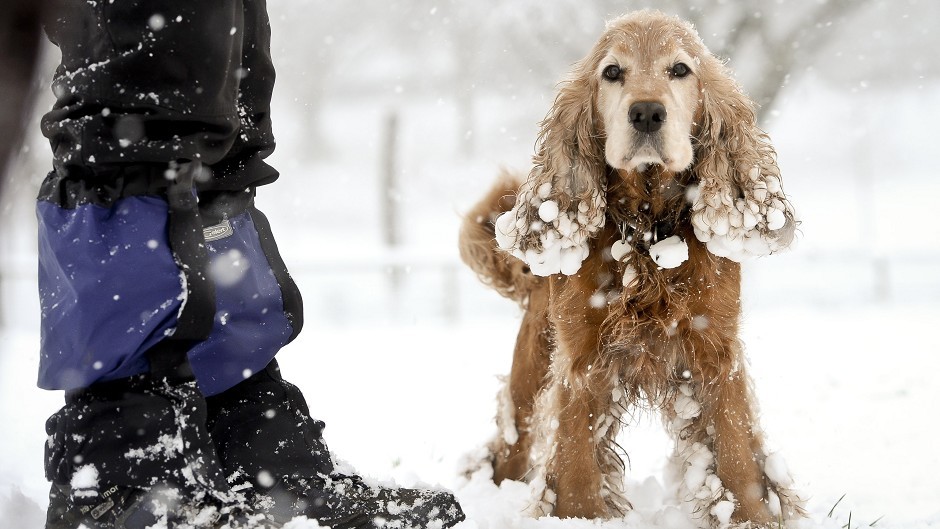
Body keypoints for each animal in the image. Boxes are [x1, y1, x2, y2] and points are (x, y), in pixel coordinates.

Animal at [458, 10, 804, 524]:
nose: (646, 112)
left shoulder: (714, 351)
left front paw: (750, 517)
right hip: (528, 383)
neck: (646, 230)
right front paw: (577, 515)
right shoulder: (581, 361)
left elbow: (737, 454)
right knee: (507, 451)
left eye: (680, 69)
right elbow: (577, 461)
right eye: (612, 72)